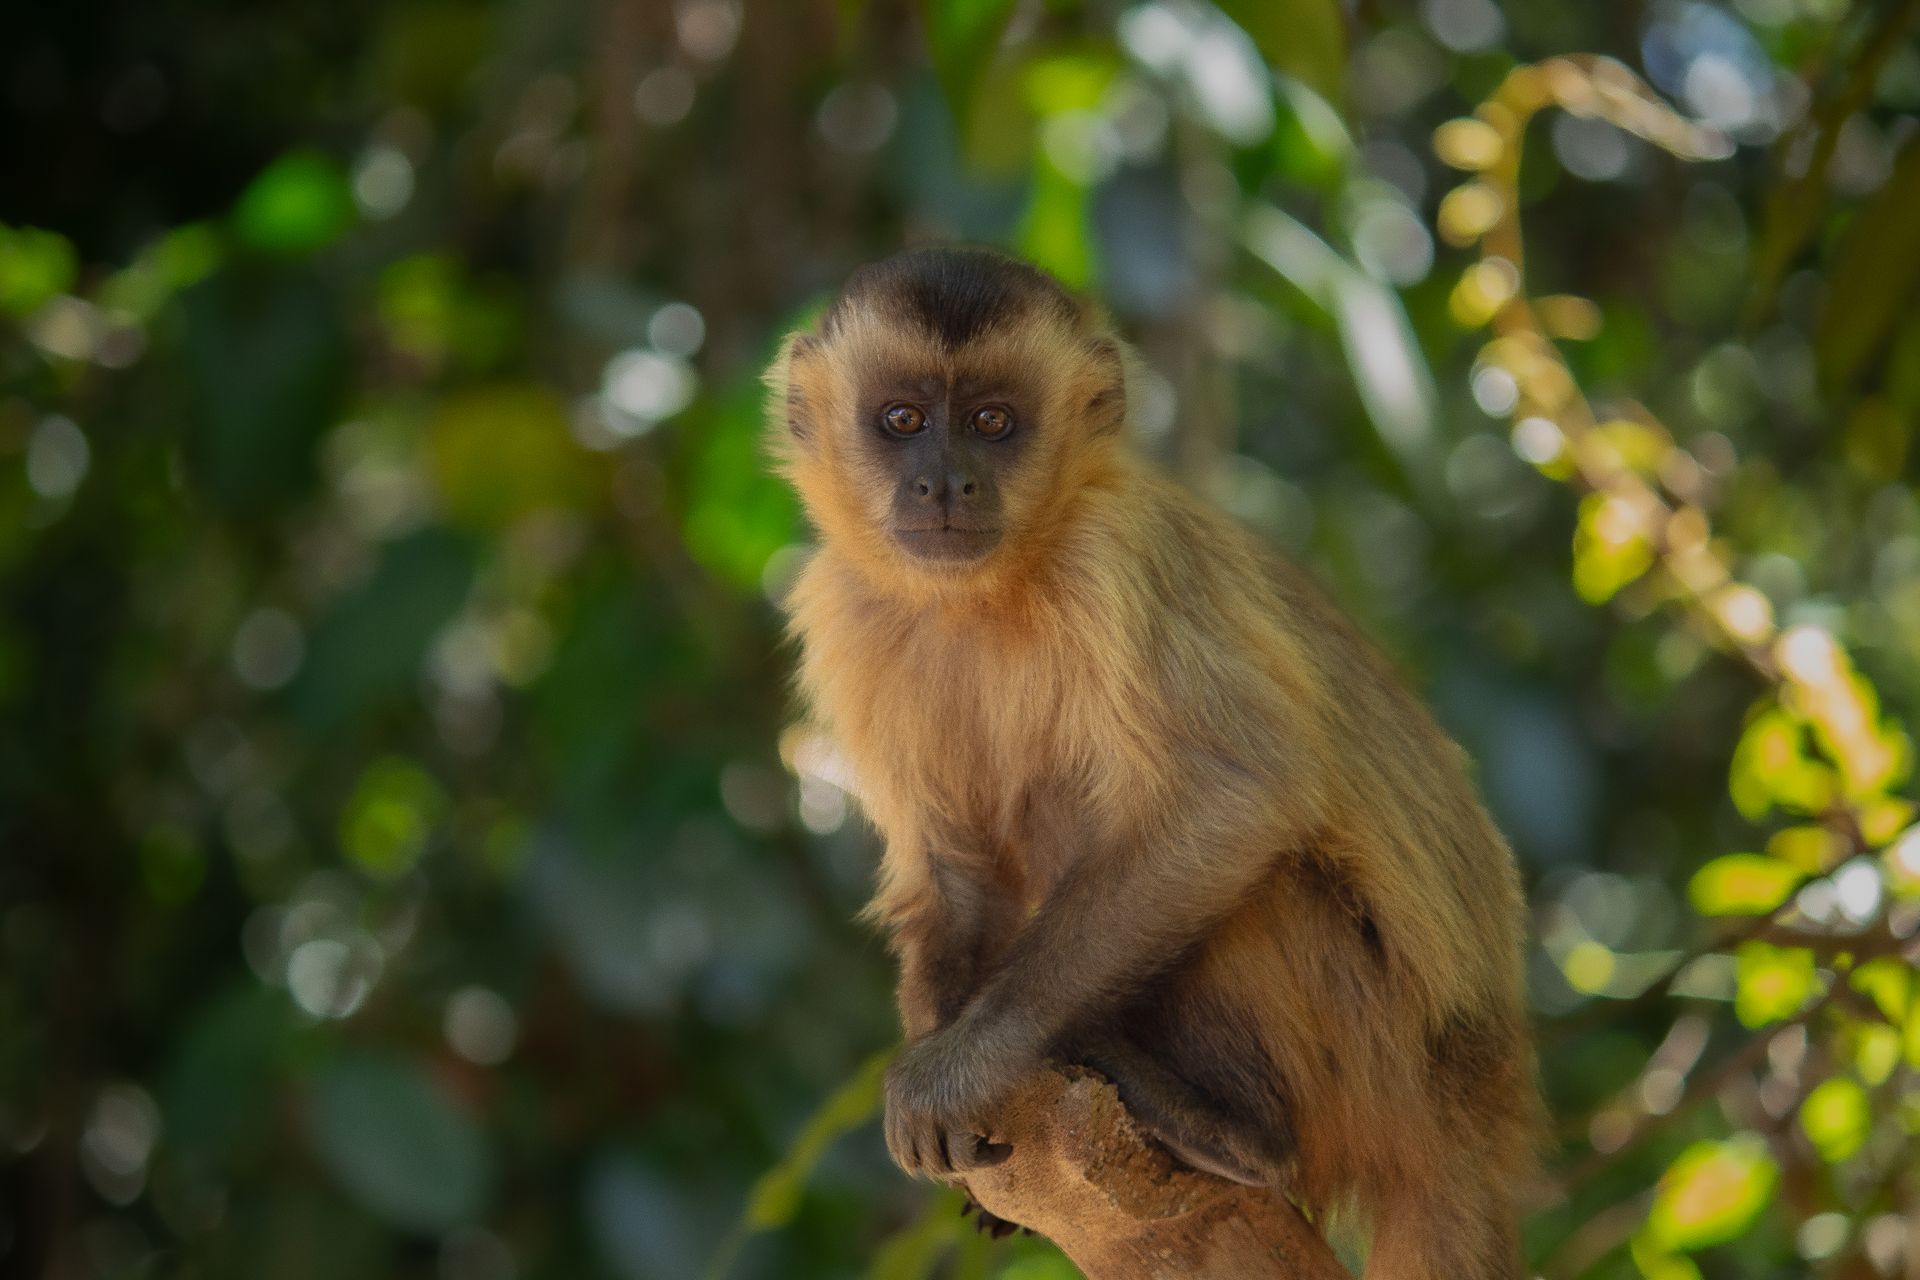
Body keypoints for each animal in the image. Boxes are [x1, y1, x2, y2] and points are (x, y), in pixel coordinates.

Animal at [767, 246, 1542, 1279]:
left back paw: (1240, 1135)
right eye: (903, 421)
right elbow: (955, 871)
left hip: (1392, 1071)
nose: (945, 484)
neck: (987, 592)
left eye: (991, 423)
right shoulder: (843, 611)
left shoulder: (1115, 560)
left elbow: (1236, 796)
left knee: (1261, 878)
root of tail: (1484, 1104)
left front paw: (967, 1067)